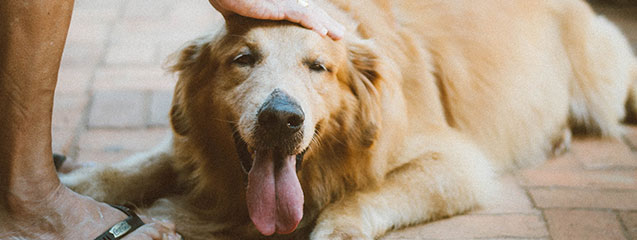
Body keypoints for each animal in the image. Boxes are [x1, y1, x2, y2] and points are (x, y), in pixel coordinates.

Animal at [59, 0, 636, 238]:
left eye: (320, 67)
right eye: (243, 59)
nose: (280, 119)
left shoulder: (457, 162)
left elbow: (366, 194)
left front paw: (337, 227)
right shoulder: (193, 147)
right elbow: (139, 164)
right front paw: (77, 182)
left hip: (608, 79)